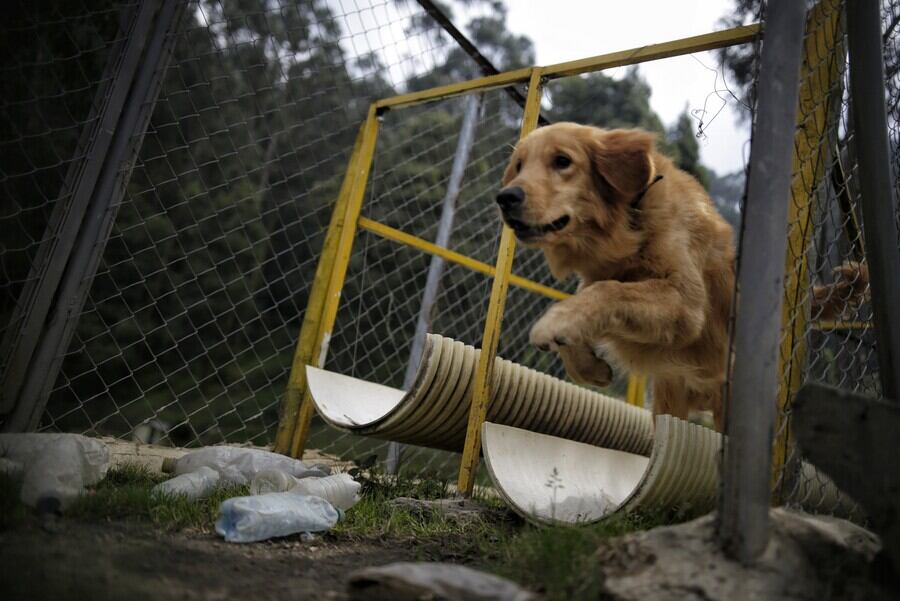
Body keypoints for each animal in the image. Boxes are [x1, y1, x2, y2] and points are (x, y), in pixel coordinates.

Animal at [496, 123, 868, 432]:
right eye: (519, 166)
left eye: (562, 161)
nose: (505, 197)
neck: (630, 225)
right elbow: (589, 299)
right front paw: (588, 366)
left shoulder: (686, 304)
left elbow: (609, 292)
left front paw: (553, 325)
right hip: (670, 400)